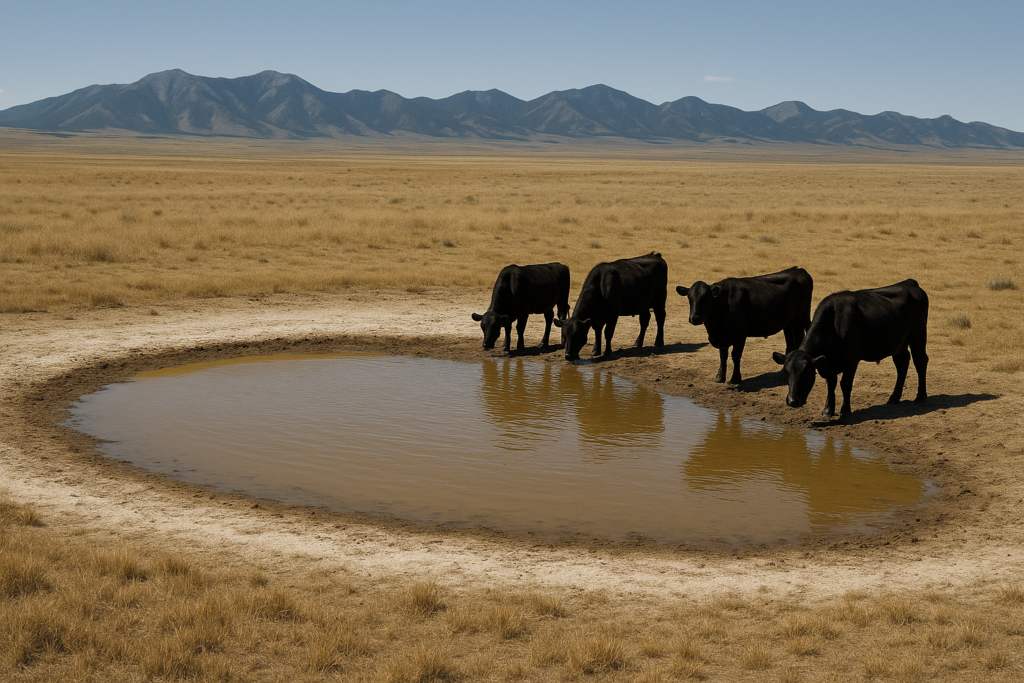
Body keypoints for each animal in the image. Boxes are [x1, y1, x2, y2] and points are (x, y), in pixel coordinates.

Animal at [676, 267, 813, 384]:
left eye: (706, 298)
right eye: (689, 298)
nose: (694, 318)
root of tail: (799, 270)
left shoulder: (740, 335)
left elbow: (735, 356)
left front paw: (735, 378)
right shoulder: (722, 337)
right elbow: (723, 356)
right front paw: (720, 377)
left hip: (800, 319)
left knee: (798, 339)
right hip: (788, 324)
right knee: (790, 342)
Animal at [773, 279, 929, 417]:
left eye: (806, 373)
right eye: (786, 372)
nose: (793, 401)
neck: (833, 326)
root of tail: (910, 283)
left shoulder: (851, 361)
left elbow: (845, 384)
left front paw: (845, 409)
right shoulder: (829, 364)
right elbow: (831, 384)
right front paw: (828, 410)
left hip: (918, 336)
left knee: (920, 361)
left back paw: (921, 395)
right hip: (898, 344)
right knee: (902, 363)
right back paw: (894, 397)